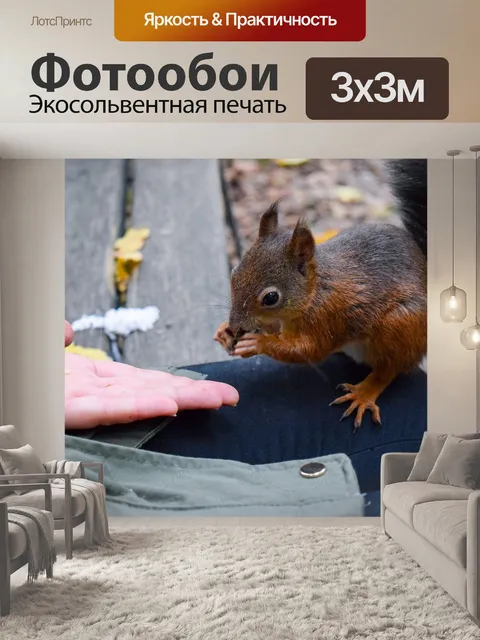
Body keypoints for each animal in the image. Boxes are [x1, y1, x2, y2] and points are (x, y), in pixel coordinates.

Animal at [214, 160, 427, 430]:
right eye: (234, 272)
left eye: (271, 298)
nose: (234, 325)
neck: (314, 292)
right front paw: (224, 331)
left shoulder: (328, 317)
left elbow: (307, 350)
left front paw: (258, 342)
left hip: (401, 326)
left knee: (389, 368)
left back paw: (364, 393)